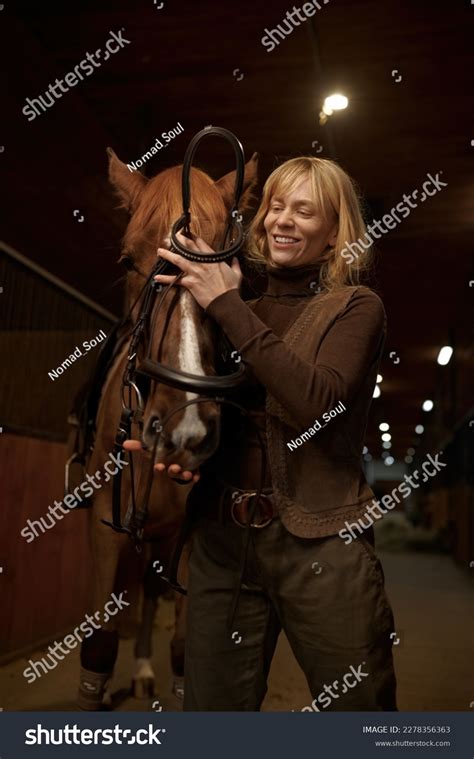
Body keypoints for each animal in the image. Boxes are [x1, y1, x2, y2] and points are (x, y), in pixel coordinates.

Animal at [76, 145, 258, 708]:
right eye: (127, 261)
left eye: (232, 271)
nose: (185, 428)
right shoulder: (104, 530)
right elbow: (98, 645)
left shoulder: (188, 535)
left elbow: (182, 648)